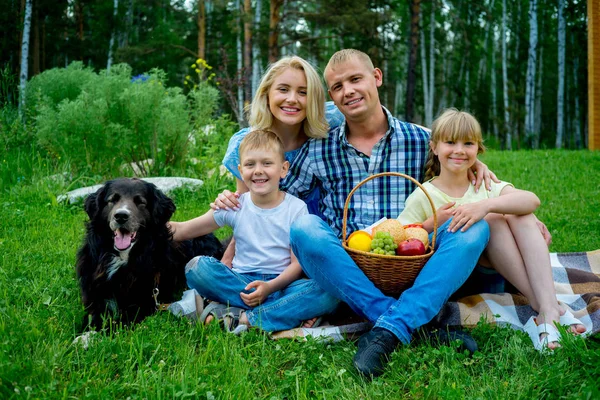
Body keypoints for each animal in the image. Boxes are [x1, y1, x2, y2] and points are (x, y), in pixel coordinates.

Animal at [75, 178, 224, 332]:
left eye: (140, 202)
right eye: (112, 200)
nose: (121, 216)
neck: (123, 257)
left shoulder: (143, 303)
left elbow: (119, 323)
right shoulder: (95, 297)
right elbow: (92, 319)